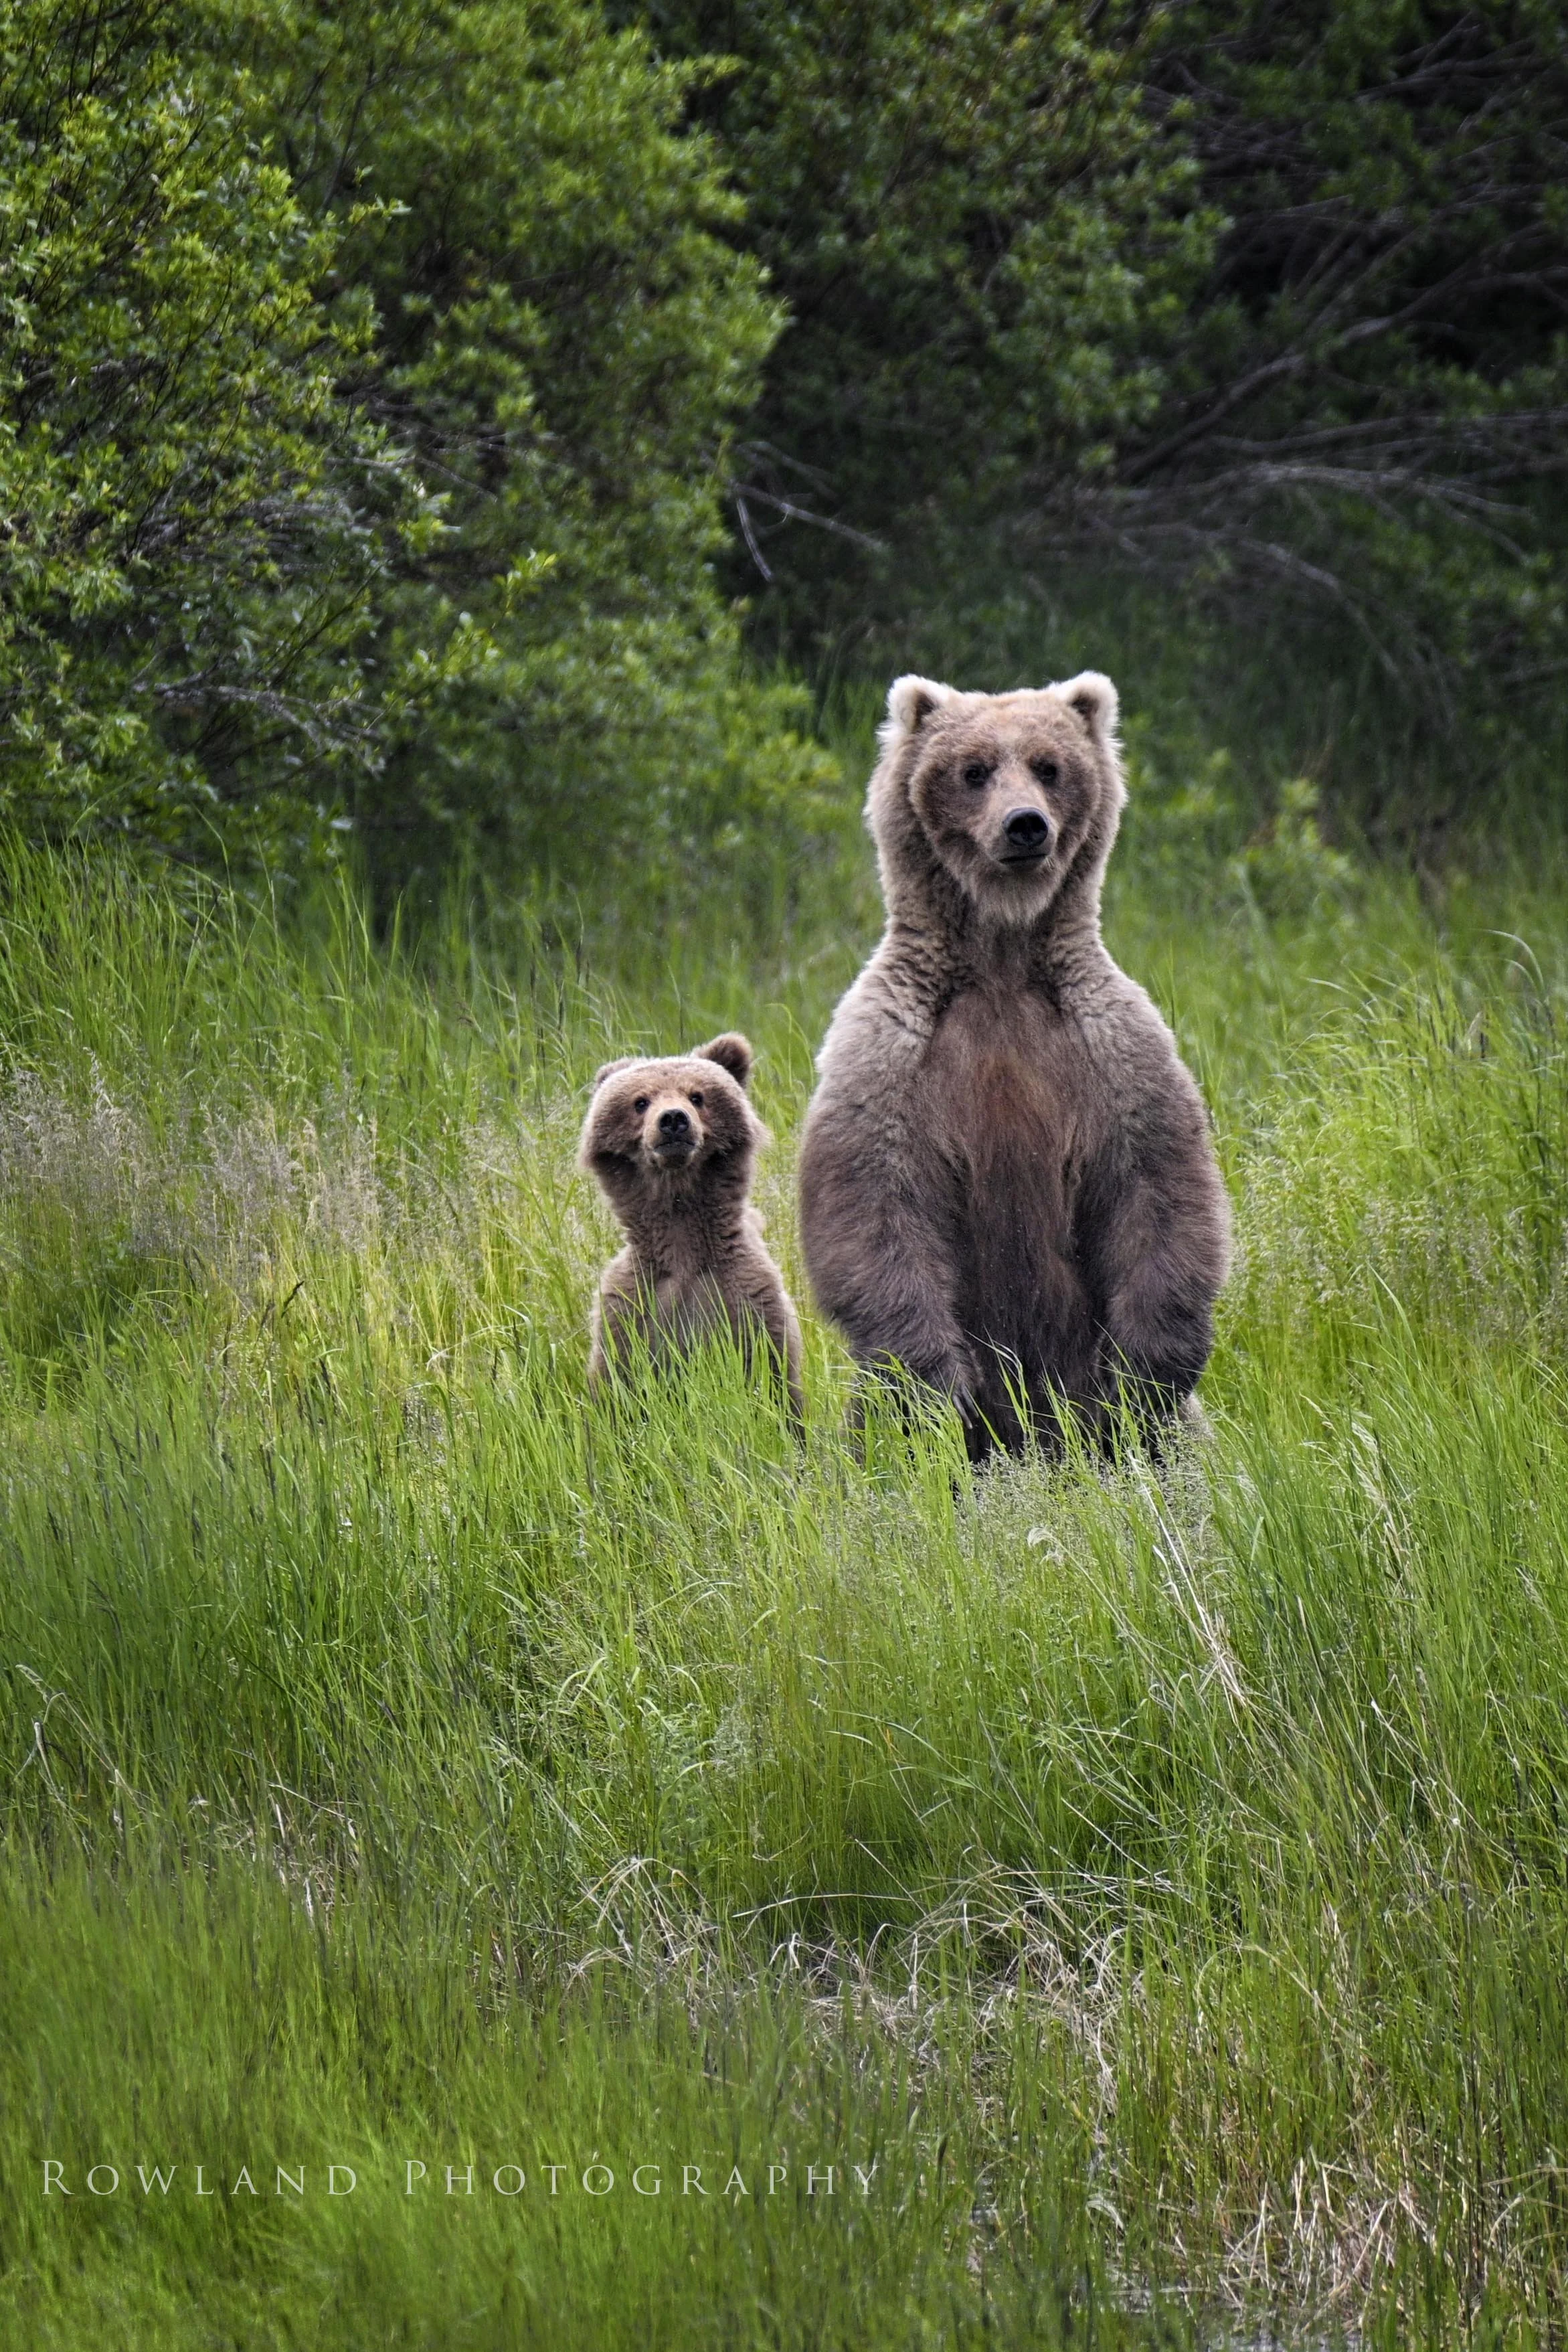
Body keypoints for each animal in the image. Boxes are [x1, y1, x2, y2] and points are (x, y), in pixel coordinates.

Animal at [579, 1032, 804, 1422]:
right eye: (641, 1101)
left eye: (697, 1096)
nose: (673, 1119)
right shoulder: (632, 1310)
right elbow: (617, 1392)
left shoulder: (746, 1302)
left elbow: (770, 1382)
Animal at [797, 670, 1230, 1460]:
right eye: (974, 770)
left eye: (1048, 766)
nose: (1025, 824)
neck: (1001, 961)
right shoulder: (890, 1055)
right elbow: (874, 1208)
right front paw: (936, 1385)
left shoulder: (1111, 1044)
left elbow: (1160, 1188)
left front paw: (1149, 1371)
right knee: (877, 1444)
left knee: (1175, 1446)